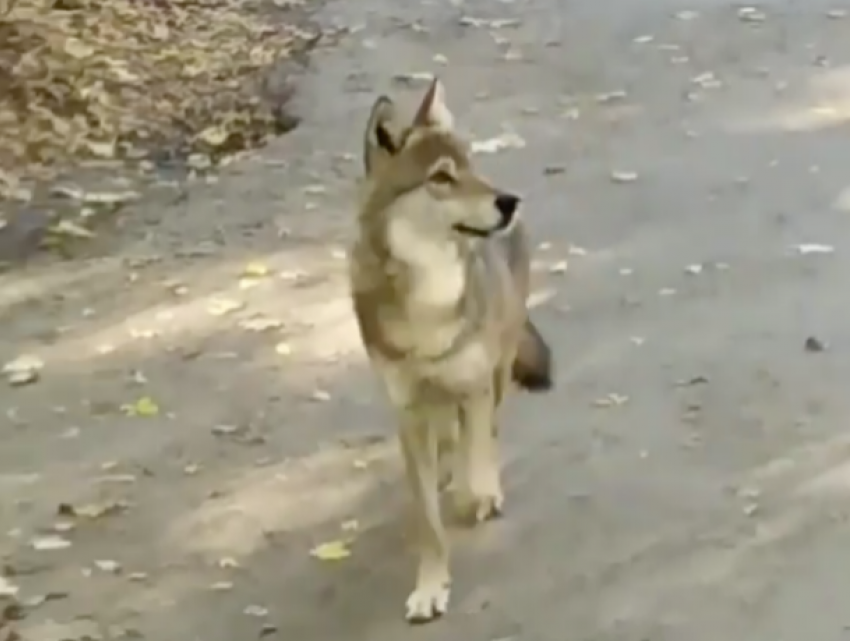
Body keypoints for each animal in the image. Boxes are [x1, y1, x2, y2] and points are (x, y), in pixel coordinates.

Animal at [348, 77, 552, 624]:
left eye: (470, 164)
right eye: (442, 177)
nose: (510, 201)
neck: (431, 299)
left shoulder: (474, 382)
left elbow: (474, 460)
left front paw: (475, 494)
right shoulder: (409, 411)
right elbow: (427, 521)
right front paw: (430, 587)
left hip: (498, 368)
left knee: (485, 432)